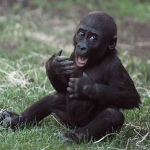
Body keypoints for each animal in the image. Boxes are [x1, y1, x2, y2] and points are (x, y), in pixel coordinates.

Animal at [0, 11, 141, 143]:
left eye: (93, 38)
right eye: (82, 34)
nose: (82, 46)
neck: (97, 60)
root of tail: (74, 126)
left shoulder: (114, 65)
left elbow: (130, 96)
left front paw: (85, 87)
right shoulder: (73, 55)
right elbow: (63, 87)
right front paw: (53, 67)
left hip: (82, 126)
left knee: (112, 115)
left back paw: (74, 137)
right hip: (66, 119)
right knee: (55, 98)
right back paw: (18, 120)